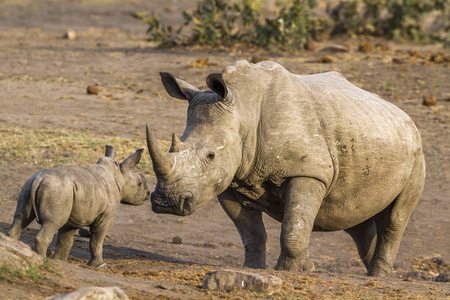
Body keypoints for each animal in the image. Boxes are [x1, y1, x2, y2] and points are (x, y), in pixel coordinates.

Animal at [7, 145, 150, 268]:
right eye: (140, 183)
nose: (148, 194)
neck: (119, 176)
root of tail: (40, 178)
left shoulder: (74, 214)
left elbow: (66, 239)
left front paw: (60, 260)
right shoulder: (106, 216)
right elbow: (97, 240)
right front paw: (101, 265)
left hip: (32, 185)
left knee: (20, 217)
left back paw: (14, 247)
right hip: (57, 190)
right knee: (51, 223)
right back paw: (42, 259)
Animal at [148, 60, 426, 276]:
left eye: (211, 155)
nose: (166, 202)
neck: (243, 110)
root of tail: (405, 116)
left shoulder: (308, 171)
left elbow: (292, 228)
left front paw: (295, 270)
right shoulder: (230, 179)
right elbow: (251, 234)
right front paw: (252, 269)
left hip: (417, 152)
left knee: (395, 218)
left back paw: (379, 276)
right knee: (356, 218)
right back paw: (372, 274)